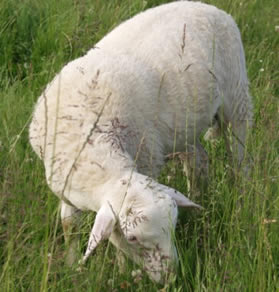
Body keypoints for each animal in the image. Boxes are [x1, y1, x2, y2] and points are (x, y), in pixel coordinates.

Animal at [29, 0, 254, 282]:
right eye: (134, 238)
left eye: (173, 225)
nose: (171, 278)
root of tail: (207, 6)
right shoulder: (66, 187)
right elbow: (69, 225)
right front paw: (71, 266)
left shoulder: (145, 159)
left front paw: (122, 270)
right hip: (186, 126)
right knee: (198, 160)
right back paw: (196, 193)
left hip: (237, 99)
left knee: (241, 161)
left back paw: (242, 201)